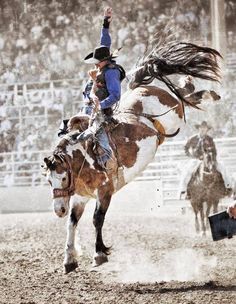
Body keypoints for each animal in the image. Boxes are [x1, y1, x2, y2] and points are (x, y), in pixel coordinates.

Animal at [42, 41, 223, 274]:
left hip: (174, 113)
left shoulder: (105, 191)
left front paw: (99, 254)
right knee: (185, 96)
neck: (84, 158)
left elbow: (97, 219)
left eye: (63, 177)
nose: (59, 210)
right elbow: (72, 222)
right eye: (49, 180)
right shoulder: (81, 197)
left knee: (185, 96)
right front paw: (69, 260)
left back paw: (203, 90)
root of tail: (141, 88)